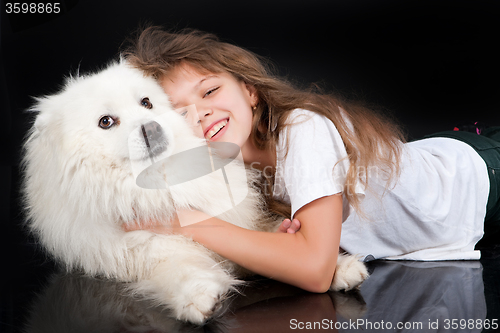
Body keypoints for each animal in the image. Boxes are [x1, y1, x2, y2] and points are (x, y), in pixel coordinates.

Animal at [22, 61, 368, 322]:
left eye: (146, 103)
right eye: (106, 122)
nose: (151, 126)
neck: (163, 181)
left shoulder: (240, 220)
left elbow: (277, 240)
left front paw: (341, 266)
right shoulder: (148, 252)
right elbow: (181, 268)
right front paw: (201, 296)